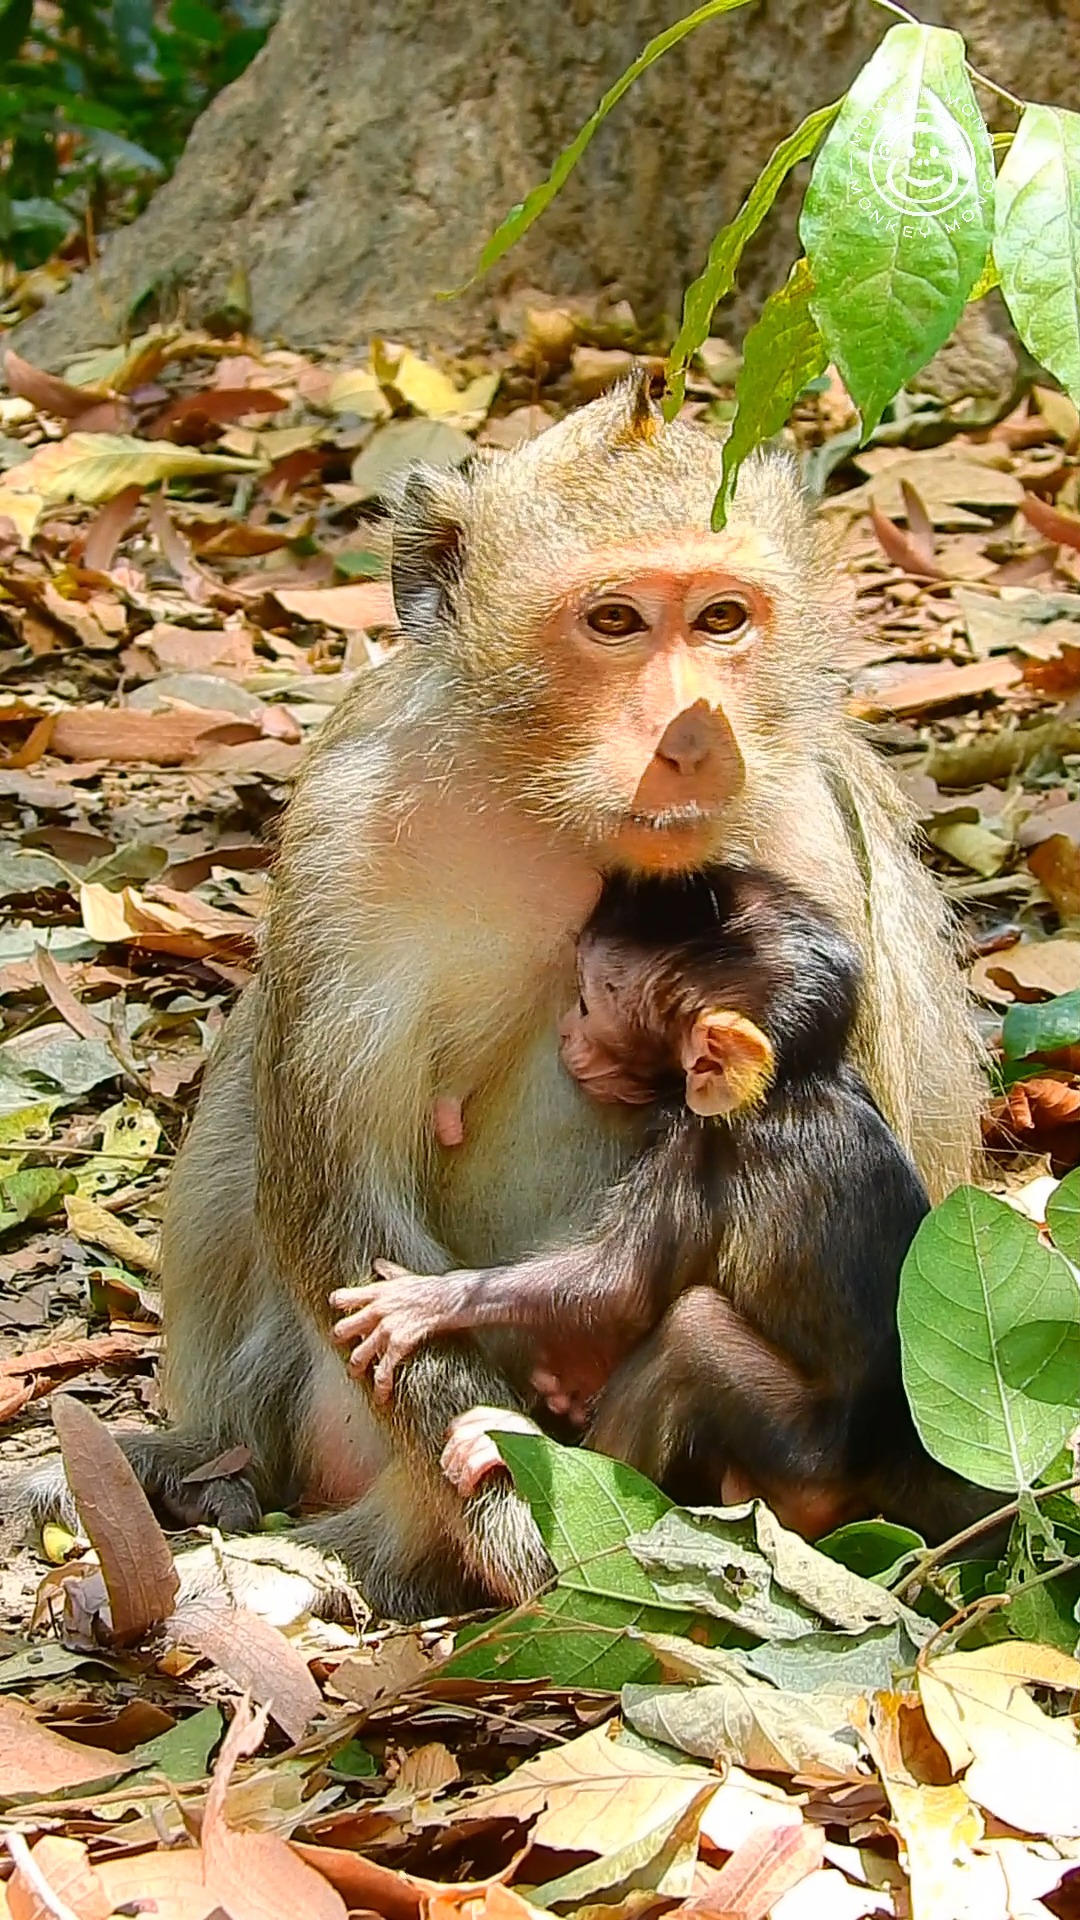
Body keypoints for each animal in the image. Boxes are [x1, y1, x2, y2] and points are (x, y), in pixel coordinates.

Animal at [327, 863, 987, 1543]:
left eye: (587, 1001)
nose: (567, 1030)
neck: (799, 1077)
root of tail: (895, 1463)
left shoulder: (697, 1146)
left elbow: (622, 1286)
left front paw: (423, 1303)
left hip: (805, 1454)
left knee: (692, 1333)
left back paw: (525, 1443)